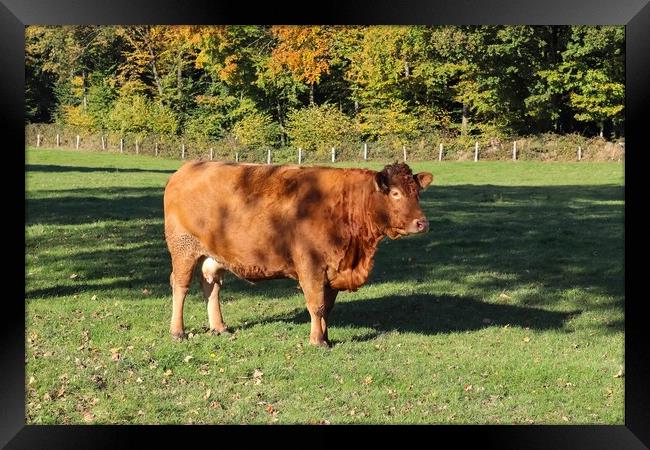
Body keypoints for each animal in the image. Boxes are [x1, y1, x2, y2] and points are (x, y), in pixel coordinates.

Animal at [162, 162, 430, 348]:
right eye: (395, 193)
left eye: (417, 193)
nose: (422, 223)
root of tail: (188, 168)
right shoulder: (311, 265)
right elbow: (316, 305)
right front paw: (317, 340)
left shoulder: (333, 270)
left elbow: (327, 307)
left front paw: (326, 336)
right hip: (183, 248)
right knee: (181, 286)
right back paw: (177, 331)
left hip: (213, 255)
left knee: (211, 285)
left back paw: (219, 327)